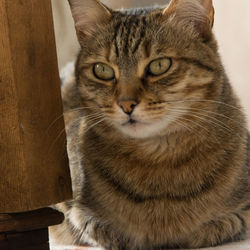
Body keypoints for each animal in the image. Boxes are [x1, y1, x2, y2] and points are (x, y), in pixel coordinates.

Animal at [48, 0, 250, 249]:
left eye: (159, 65)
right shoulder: (67, 206)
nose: (126, 104)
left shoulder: (242, 214)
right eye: (102, 70)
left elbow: (220, 226)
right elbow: (93, 225)